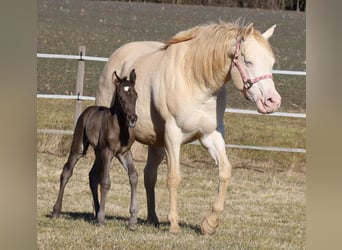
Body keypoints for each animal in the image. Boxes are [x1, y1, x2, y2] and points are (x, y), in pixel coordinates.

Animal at [52, 69, 138, 229]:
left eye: (136, 95)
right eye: (121, 97)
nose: (132, 118)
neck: (119, 128)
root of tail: (88, 110)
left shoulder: (124, 152)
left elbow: (133, 176)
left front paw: (133, 220)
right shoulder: (107, 152)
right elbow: (105, 181)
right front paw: (102, 219)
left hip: (98, 152)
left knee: (92, 175)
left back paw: (96, 213)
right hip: (79, 147)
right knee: (67, 172)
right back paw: (56, 211)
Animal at [95, 21, 280, 234]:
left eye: (271, 63)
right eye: (248, 62)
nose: (272, 101)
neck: (195, 81)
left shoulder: (211, 135)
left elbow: (225, 171)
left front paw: (209, 223)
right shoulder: (173, 135)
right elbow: (174, 178)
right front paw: (174, 224)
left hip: (155, 143)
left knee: (149, 175)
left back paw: (153, 218)